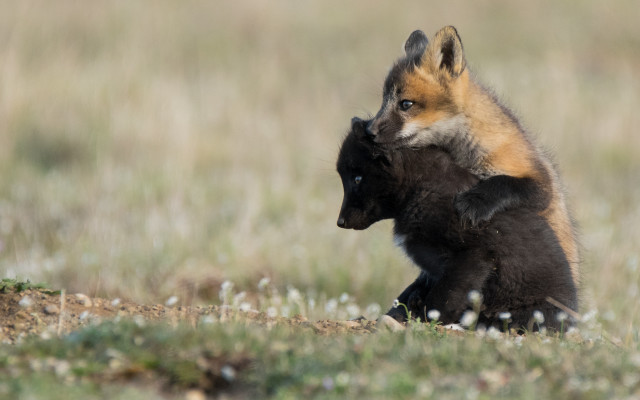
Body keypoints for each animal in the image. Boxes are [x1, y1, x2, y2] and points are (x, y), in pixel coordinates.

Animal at [337, 117, 578, 331]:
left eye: (357, 179)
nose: (340, 222)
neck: (422, 187)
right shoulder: (433, 269)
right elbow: (411, 292)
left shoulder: (472, 257)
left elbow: (443, 299)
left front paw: (426, 321)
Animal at [364, 26, 580, 288]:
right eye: (383, 101)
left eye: (406, 104)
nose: (369, 131)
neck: (465, 154)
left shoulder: (541, 184)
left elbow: (504, 183)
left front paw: (475, 203)